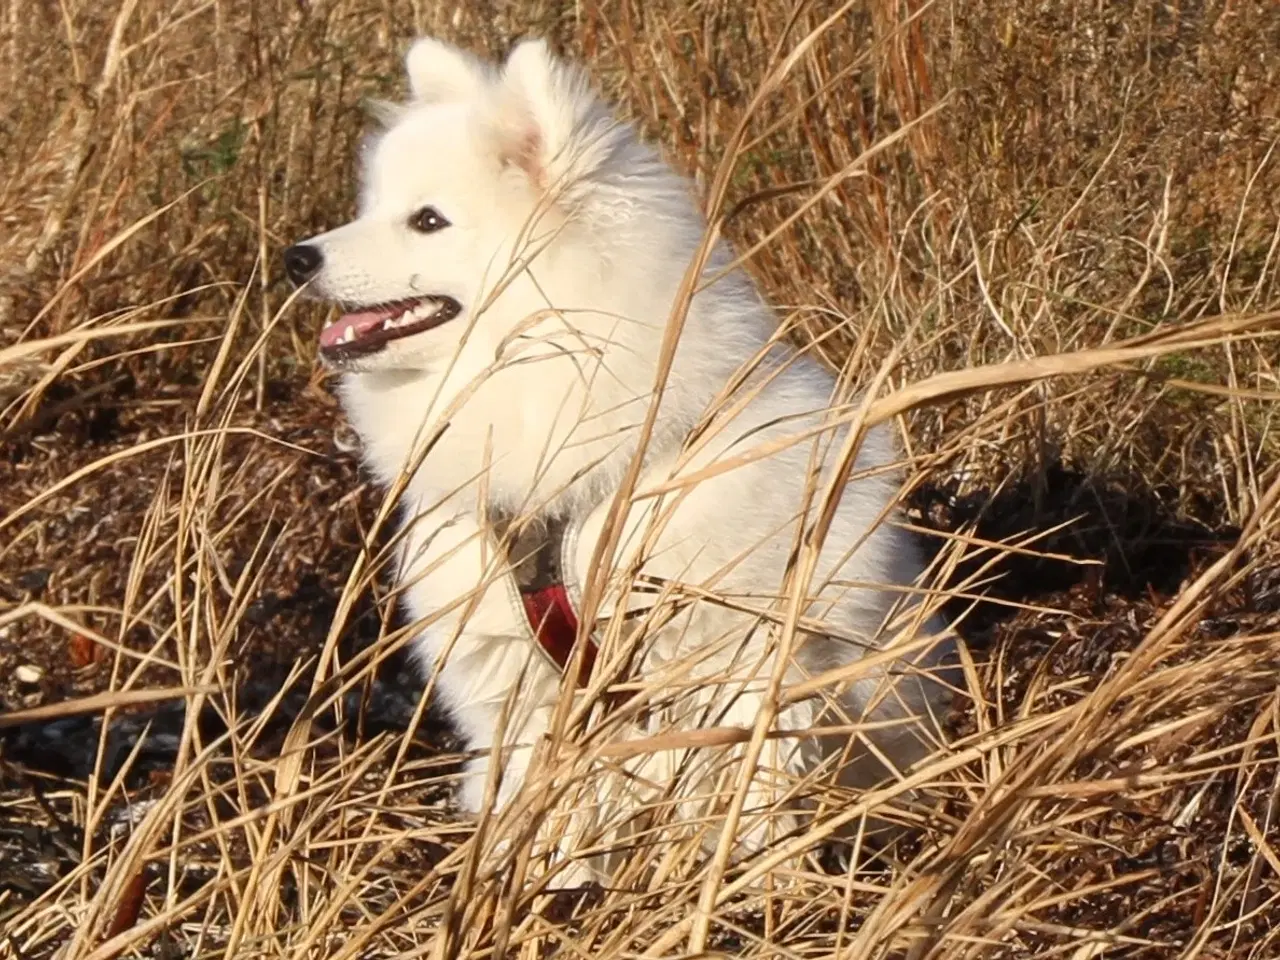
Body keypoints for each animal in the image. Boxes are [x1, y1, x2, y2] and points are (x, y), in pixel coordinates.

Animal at [285, 35, 957, 880]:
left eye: (427, 220)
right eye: (372, 207)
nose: (296, 257)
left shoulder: (737, 661)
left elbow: (742, 791)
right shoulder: (524, 678)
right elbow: (548, 797)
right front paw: (551, 880)